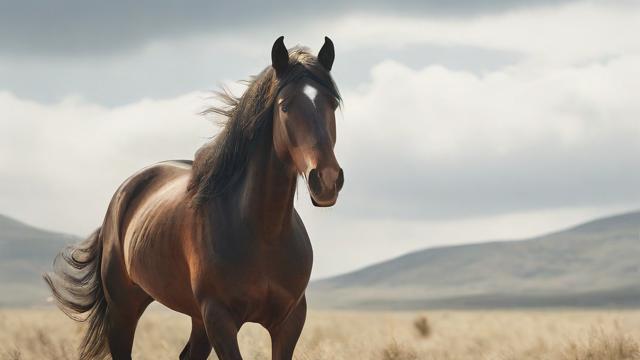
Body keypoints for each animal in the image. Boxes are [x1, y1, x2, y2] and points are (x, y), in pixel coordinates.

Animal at [43, 37, 344, 360]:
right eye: (285, 105)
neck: (263, 231)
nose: (326, 179)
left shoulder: (289, 321)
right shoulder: (219, 318)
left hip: (195, 318)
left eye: (331, 103)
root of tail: (125, 193)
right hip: (124, 310)